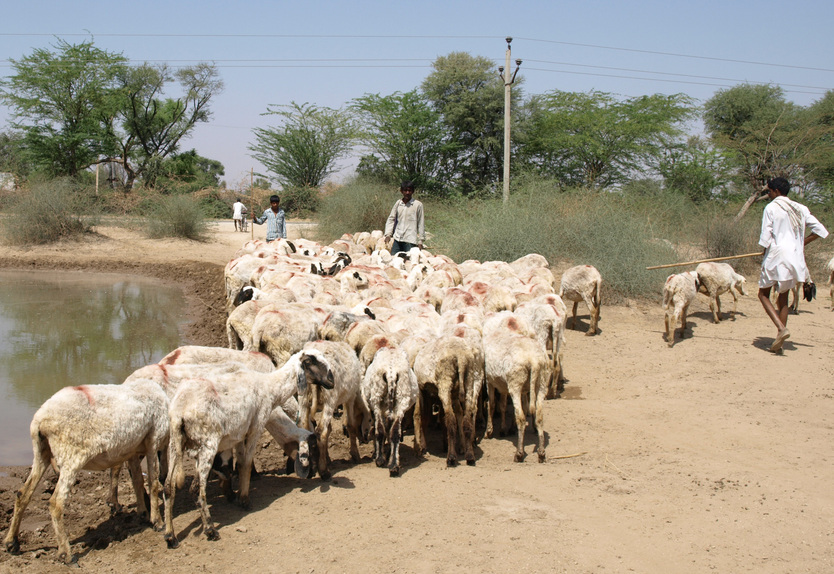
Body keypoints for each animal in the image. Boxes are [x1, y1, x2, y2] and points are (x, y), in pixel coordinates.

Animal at [4, 380, 171, 564]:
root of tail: (40, 419)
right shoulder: (153, 440)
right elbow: (153, 483)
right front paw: (157, 521)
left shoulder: (133, 449)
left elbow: (138, 481)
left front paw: (143, 513)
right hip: (71, 455)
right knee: (56, 502)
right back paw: (66, 554)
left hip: (41, 452)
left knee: (23, 494)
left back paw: (12, 542)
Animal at [161, 348, 334, 548]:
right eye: (311, 361)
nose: (332, 380)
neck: (270, 388)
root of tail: (181, 410)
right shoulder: (256, 427)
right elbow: (246, 463)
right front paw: (244, 499)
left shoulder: (237, 435)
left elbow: (238, 463)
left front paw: (234, 492)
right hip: (207, 445)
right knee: (197, 488)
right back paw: (210, 529)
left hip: (175, 443)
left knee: (168, 486)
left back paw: (170, 535)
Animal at [360, 346, 420, 476]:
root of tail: (391, 373)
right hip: (402, 399)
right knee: (394, 432)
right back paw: (393, 465)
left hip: (376, 399)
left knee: (380, 430)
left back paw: (380, 459)